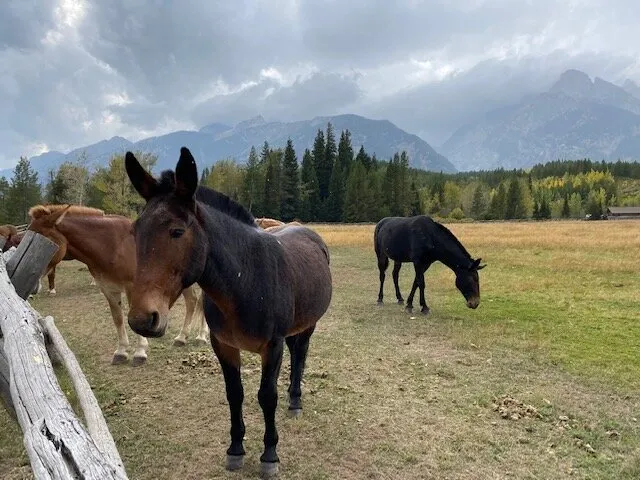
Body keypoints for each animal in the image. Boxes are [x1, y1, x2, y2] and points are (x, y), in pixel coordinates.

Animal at [27, 204, 208, 365]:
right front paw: (121, 352)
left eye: (43, 240)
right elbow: (118, 319)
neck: (114, 245)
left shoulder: (132, 287)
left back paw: (201, 336)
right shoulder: (108, 289)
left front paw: (140, 353)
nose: (34, 286)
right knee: (192, 302)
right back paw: (182, 338)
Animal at [124, 147, 332, 478]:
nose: (142, 318)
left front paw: (269, 455)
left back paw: (296, 401)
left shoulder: (272, 347)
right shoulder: (224, 346)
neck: (244, 281)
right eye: (135, 231)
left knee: (300, 357)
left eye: (177, 231)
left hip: (308, 325)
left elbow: (266, 397)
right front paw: (235, 450)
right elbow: (235, 394)